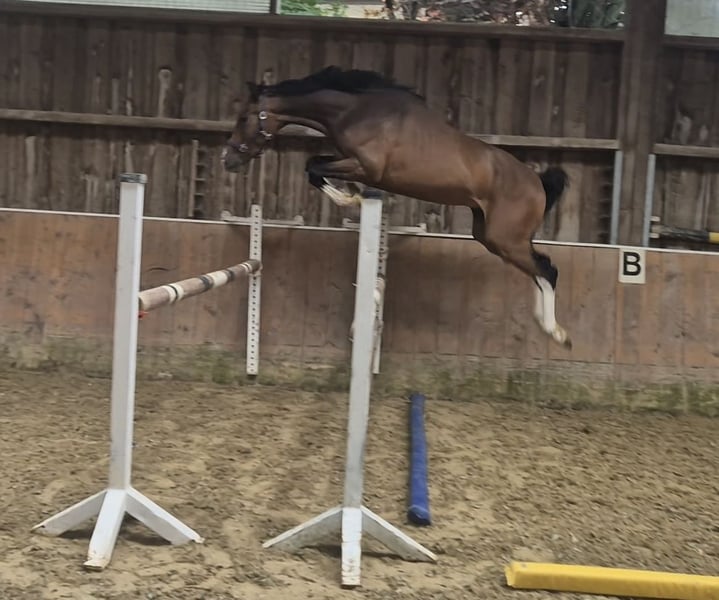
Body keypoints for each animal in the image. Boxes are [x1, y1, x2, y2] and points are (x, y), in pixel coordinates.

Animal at [221, 66, 572, 349]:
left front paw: (352, 199)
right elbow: (315, 166)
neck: (357, 111)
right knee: (539, 268)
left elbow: (315, 168)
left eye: (243, 118)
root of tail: (537, 182)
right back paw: (548, 326)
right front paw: (354, 196)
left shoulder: (365, 167)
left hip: (505, 239)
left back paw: (556, 332)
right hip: (490, 236)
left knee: (548, 270)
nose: (229, 159)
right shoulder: (351, 163)